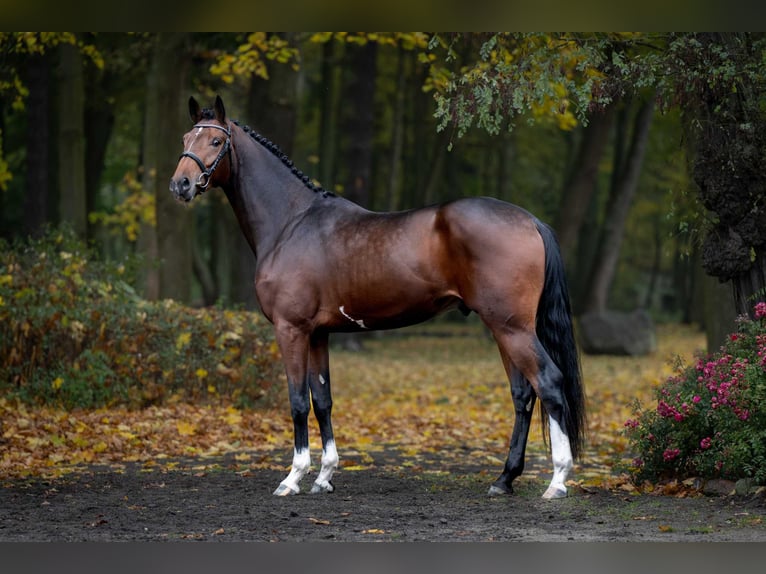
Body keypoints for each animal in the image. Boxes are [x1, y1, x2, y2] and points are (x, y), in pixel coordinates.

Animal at [170, 95, 586, 499]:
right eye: (185, 139)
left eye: (217, 141)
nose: (181, 185)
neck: (291, 222)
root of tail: (531, 221)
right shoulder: (318, 334)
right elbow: (322, 400)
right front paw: (325, 476)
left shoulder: (292, 330)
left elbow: (298, 401)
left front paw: (293, 478)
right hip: (503, 329)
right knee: (523, 394)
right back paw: (504, 479)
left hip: (512, 328)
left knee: (549, 382)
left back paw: (557, 481)